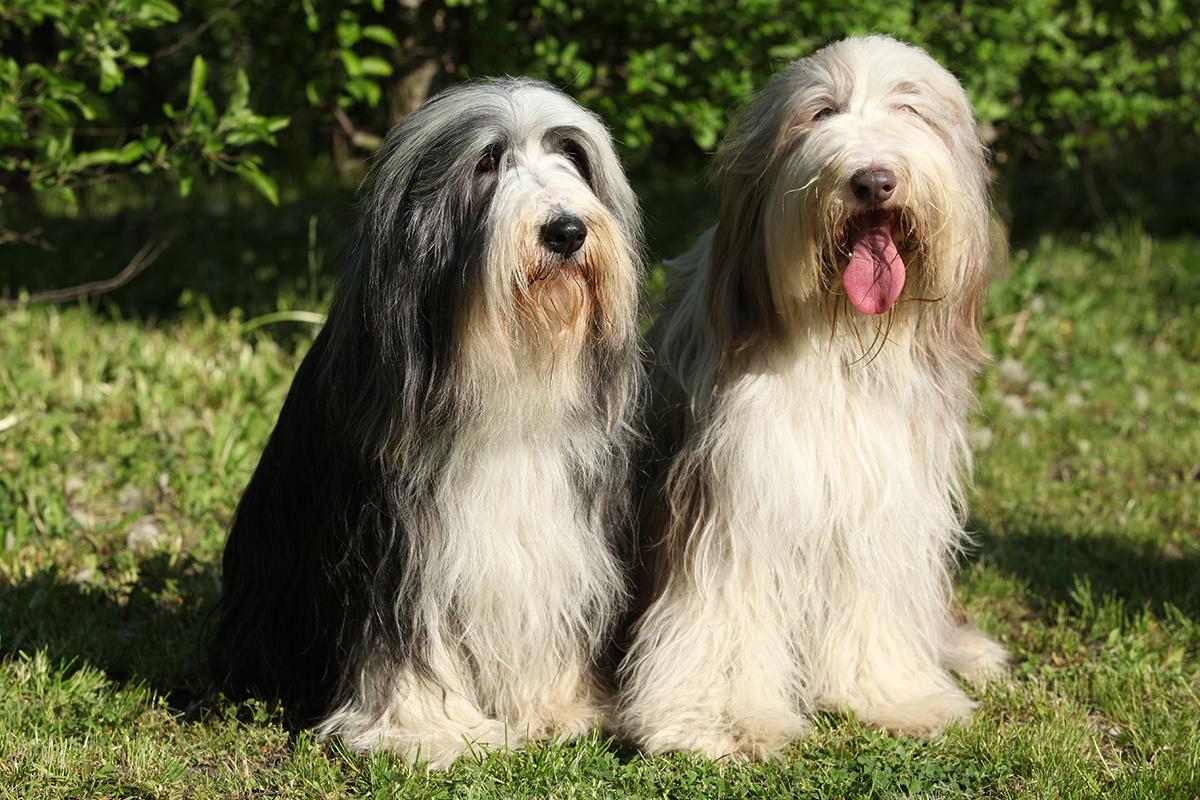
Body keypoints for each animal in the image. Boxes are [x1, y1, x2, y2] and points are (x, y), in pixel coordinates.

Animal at [216, 77, 648, 767]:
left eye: (572, 157)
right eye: (487, 162)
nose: (566, 229)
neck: (505, 367)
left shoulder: (555, 532)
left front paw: (557, 709)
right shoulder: (393, 543)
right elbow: (401, 641)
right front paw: (428, 730)